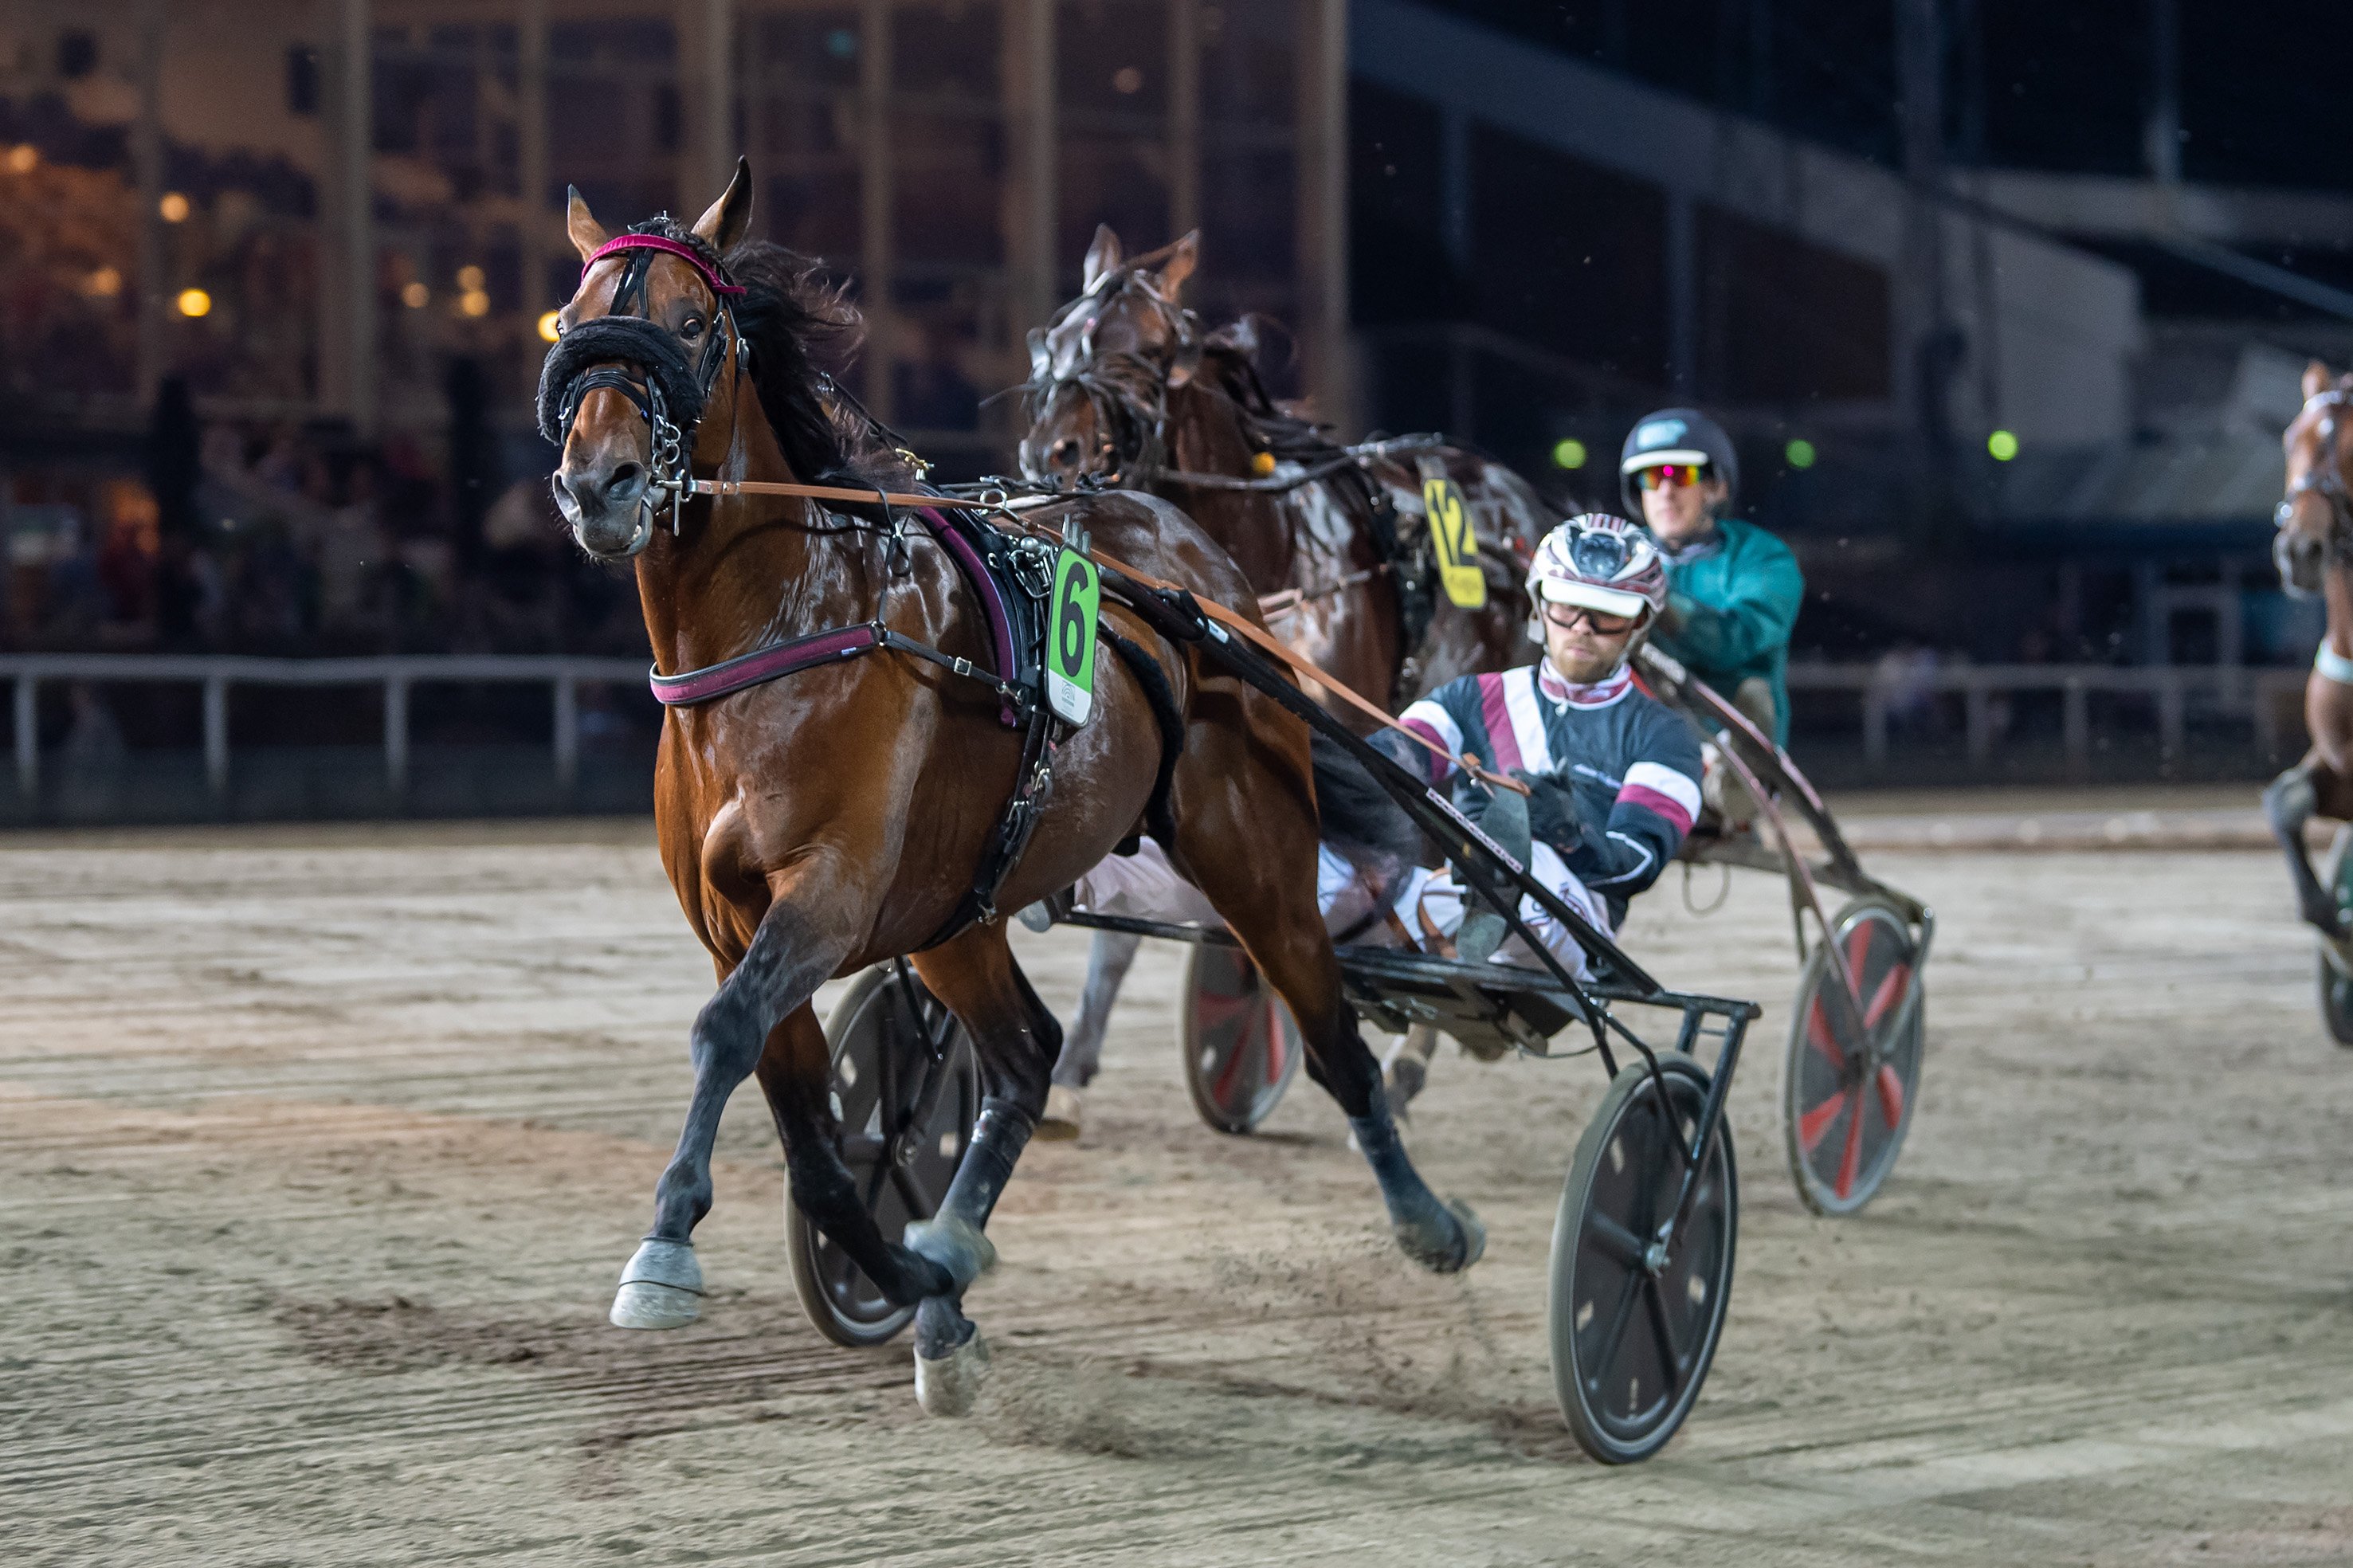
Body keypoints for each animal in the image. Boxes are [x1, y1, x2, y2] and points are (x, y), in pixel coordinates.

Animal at [541, 164, 1477, 1412]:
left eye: (692, 327)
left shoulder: (829, 892)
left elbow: (725, 1032)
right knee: (1027, 1052)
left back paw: (1429, 1217)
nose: (599, 483)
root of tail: (1196, 563)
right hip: (957, 908)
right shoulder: (735, 919)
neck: (784, 626)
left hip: (1252, 847)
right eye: (572, 322)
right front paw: (923, 1288)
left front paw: (667, 1248)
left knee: (1331, 1035)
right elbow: (809, 1135)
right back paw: (954, 1245)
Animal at [1016, 222, 1552, 1125]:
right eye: (1050, 340)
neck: (1270, 553)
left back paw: (1418, 1052)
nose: (1050, 451)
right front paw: (1073, 1063)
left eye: (1146, 352)